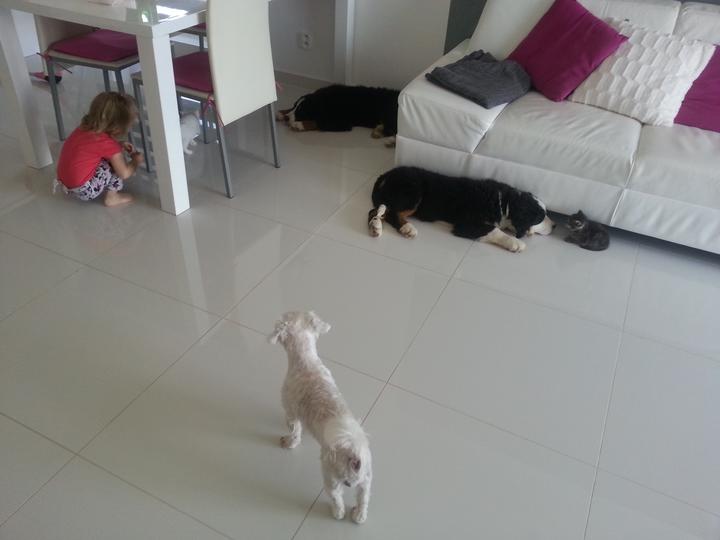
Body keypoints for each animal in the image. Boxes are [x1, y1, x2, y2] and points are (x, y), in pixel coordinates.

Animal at [269, 311, 372, 524]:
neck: (306, 361)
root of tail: (353, 452)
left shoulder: (290, 410)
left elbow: (294, 430)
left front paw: (289, 442)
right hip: (366, 479)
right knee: (364, 497)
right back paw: (359, 515)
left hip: (331, 476)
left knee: (336, 497)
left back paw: (337, 512)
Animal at [368, 166, 555, 252]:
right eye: (541, 217)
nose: (555, 226)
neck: (505, 203)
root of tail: (386, 174)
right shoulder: (466, 225)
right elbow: (494, 231)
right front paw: (515, 243)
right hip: (413, 192)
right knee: (391, 213)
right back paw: (407, 228)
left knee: (376, 211)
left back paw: (376, 227)